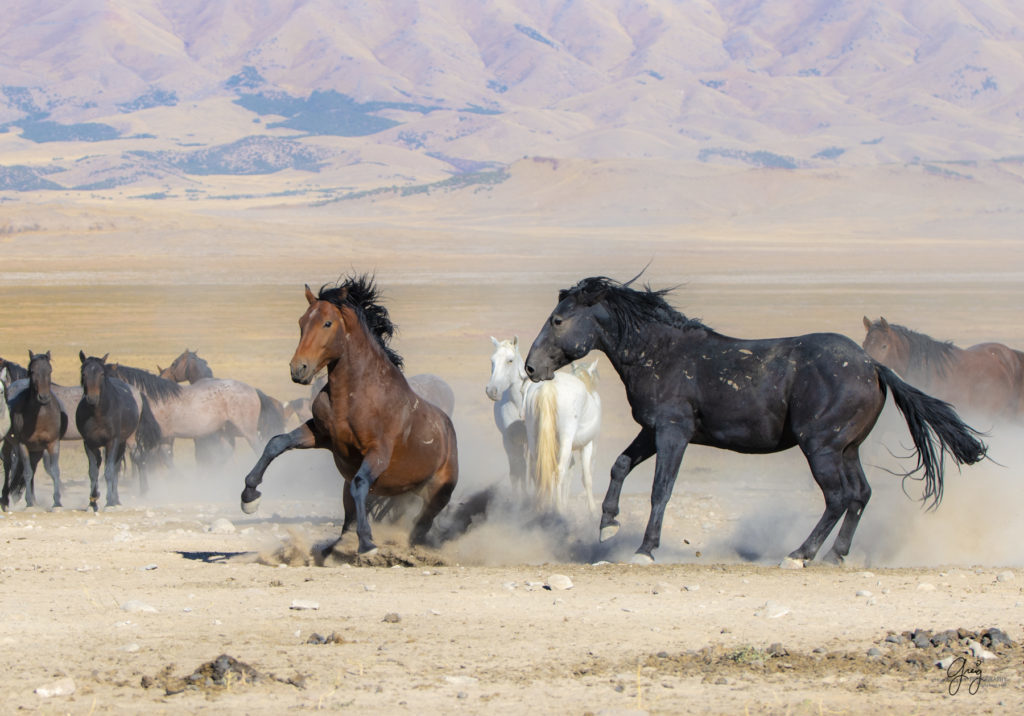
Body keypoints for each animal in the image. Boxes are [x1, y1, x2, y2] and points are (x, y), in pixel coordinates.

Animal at [3, 352, 68, 510]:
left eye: (50, 370)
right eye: (32, 371)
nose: (43, 397)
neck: (40, 416)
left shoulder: (53, 443)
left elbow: (54, 471)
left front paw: (57, 502)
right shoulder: (22, 445)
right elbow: (27, 473)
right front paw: (28, 503)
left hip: (37, 450)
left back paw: (34, 500)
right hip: (11, 445)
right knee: (9, 466)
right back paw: (6, 500)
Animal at [239, 276, 456, 557]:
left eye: (327, 323)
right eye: (301, 321)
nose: (299, 369)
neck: (353, 396)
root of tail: (448, 428)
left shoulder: (378, 452)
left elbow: (361, 482)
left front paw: (367, 543)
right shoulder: (321, 435)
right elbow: (277, 443)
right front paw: (249, 497)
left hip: (437, 495)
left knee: (420, 526)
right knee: (350, 514)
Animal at [485, 338, 598, 512]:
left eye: (510, 360)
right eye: (492, 361)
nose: (492, 391)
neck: (518, 402)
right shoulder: (510, 441)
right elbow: (517, 472)